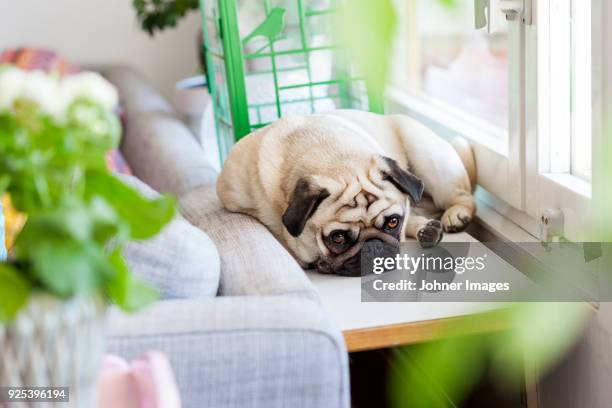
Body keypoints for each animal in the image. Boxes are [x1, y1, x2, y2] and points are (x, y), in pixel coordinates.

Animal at [218, 110, 476, 276]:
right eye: (338, 238)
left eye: (393, 222)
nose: (374, 246)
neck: (334, 158)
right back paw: (427, 229)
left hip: (427, 153)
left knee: (463, 197)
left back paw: (453, 217)